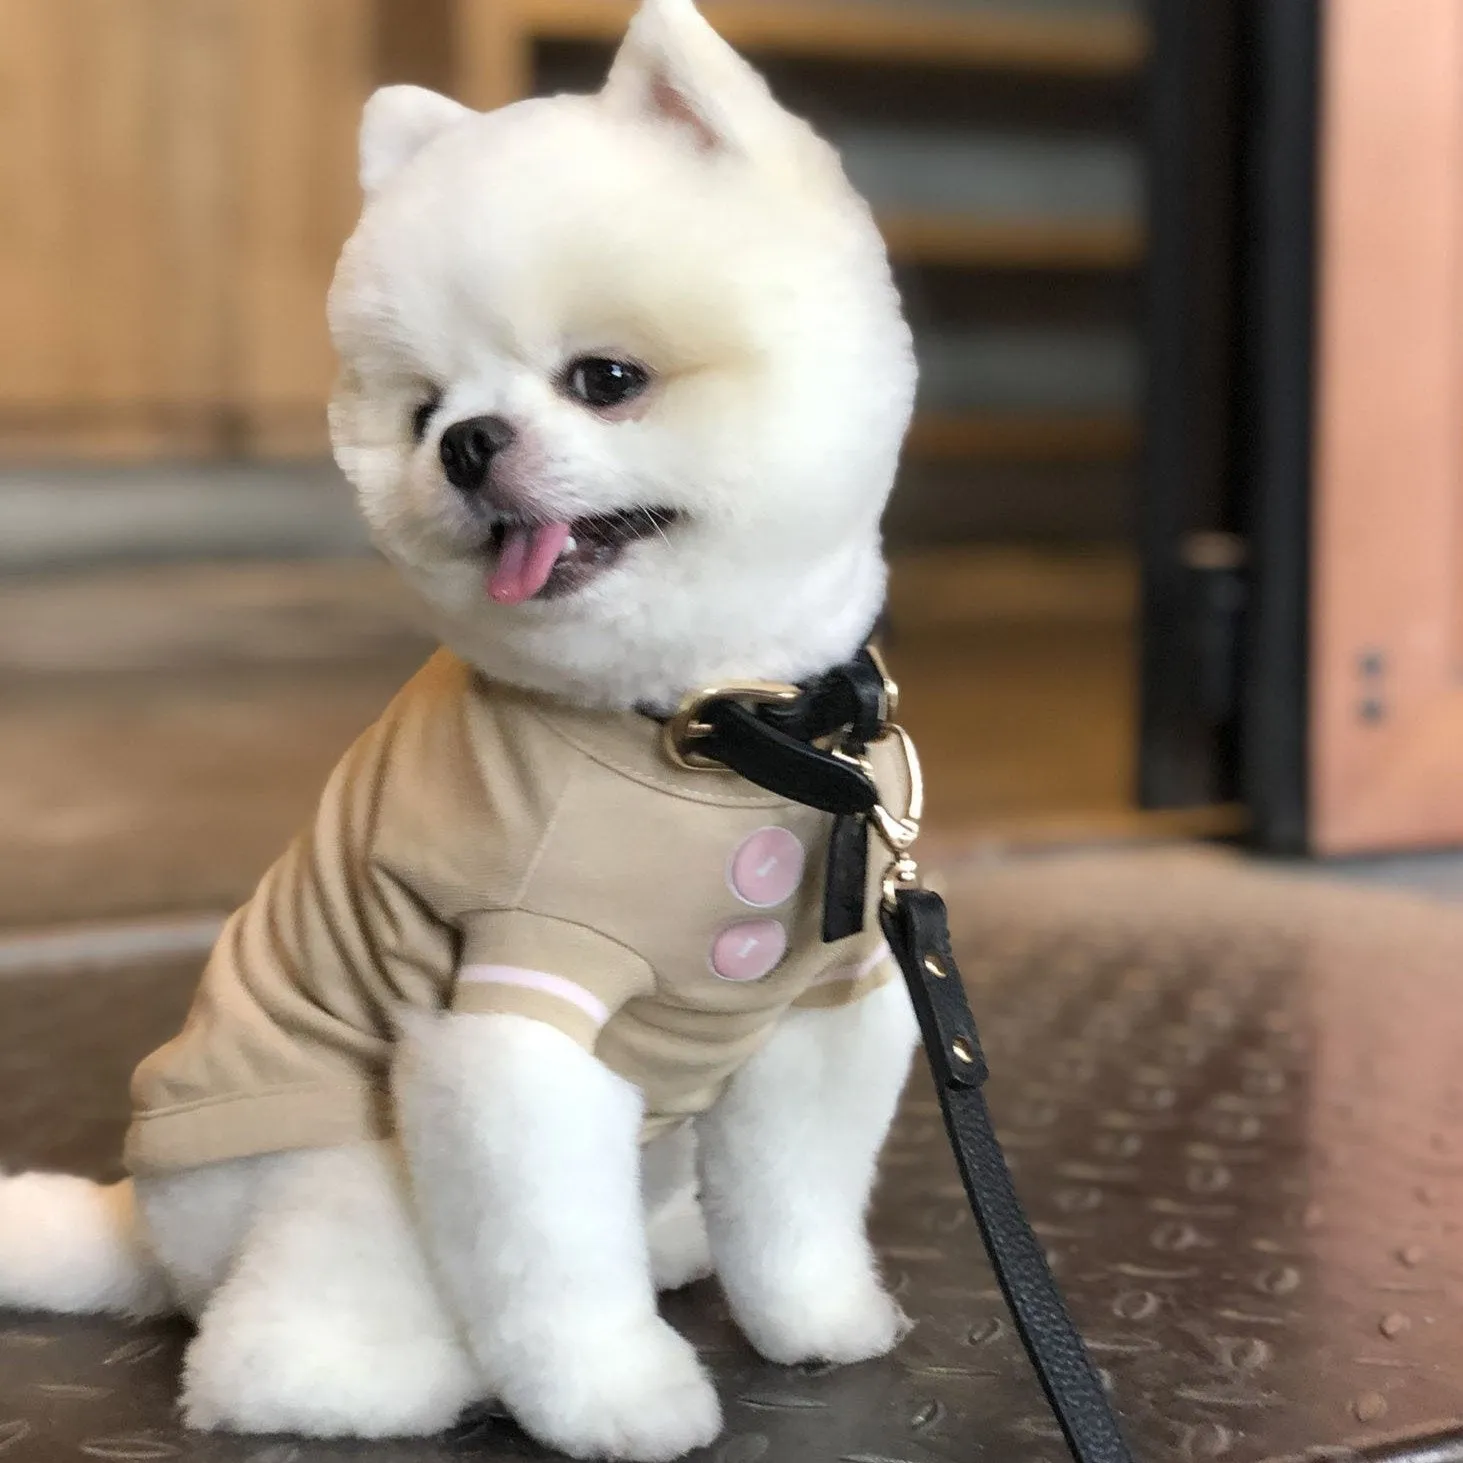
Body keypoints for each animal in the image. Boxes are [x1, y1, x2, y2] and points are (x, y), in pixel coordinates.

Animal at [0, 5, 918, 1457]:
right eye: (423, 408)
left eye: (605, 379)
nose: (469, 444)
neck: (709, 730)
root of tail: (145, 1226)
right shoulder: (517, 1013)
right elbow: (551, 1261)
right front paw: (616, 1397)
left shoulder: (824, 1002)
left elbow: (795, 1205)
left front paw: (818, 1318)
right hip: (344, 1176)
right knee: (260, 1352)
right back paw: (414, 1372)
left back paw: (670, 1239)